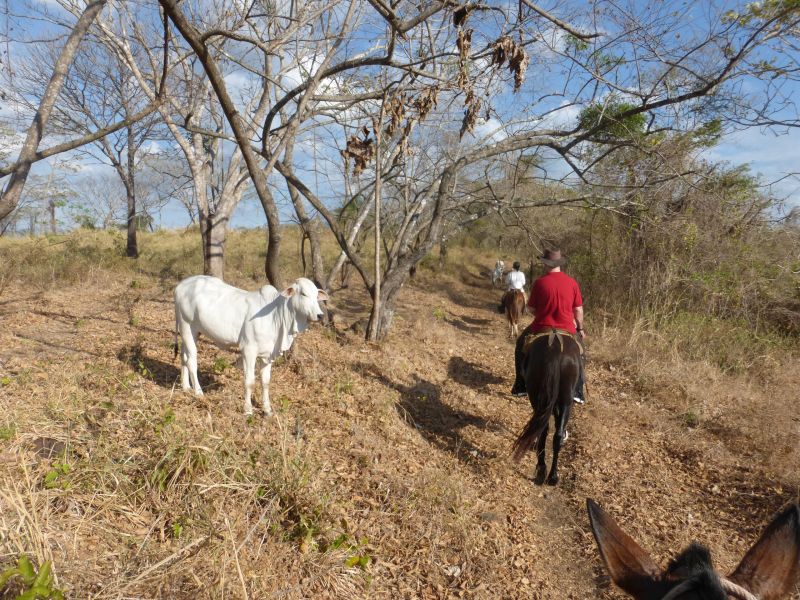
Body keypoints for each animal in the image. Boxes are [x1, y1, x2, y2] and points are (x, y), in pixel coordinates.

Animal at [173, 276, 328, 412]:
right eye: (303, 294)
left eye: (316, 295)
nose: (320, 315)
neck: (276, 316)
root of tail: (180, 285)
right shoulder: (249, 350)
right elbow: (250, 381)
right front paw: (248, 409)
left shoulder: (268, 354)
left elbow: (265, 382)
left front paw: (267, 409)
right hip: (187, 326)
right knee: (192, 360)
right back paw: (198, 393)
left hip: (193, 332)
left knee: (183, 356)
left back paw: (186, 387)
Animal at [512, 336, 580, 486]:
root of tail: (556, 351)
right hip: (565, 400)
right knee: (557, 435)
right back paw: (553, 476)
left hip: (537, 396)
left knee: (543, 428)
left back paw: (542, 469)